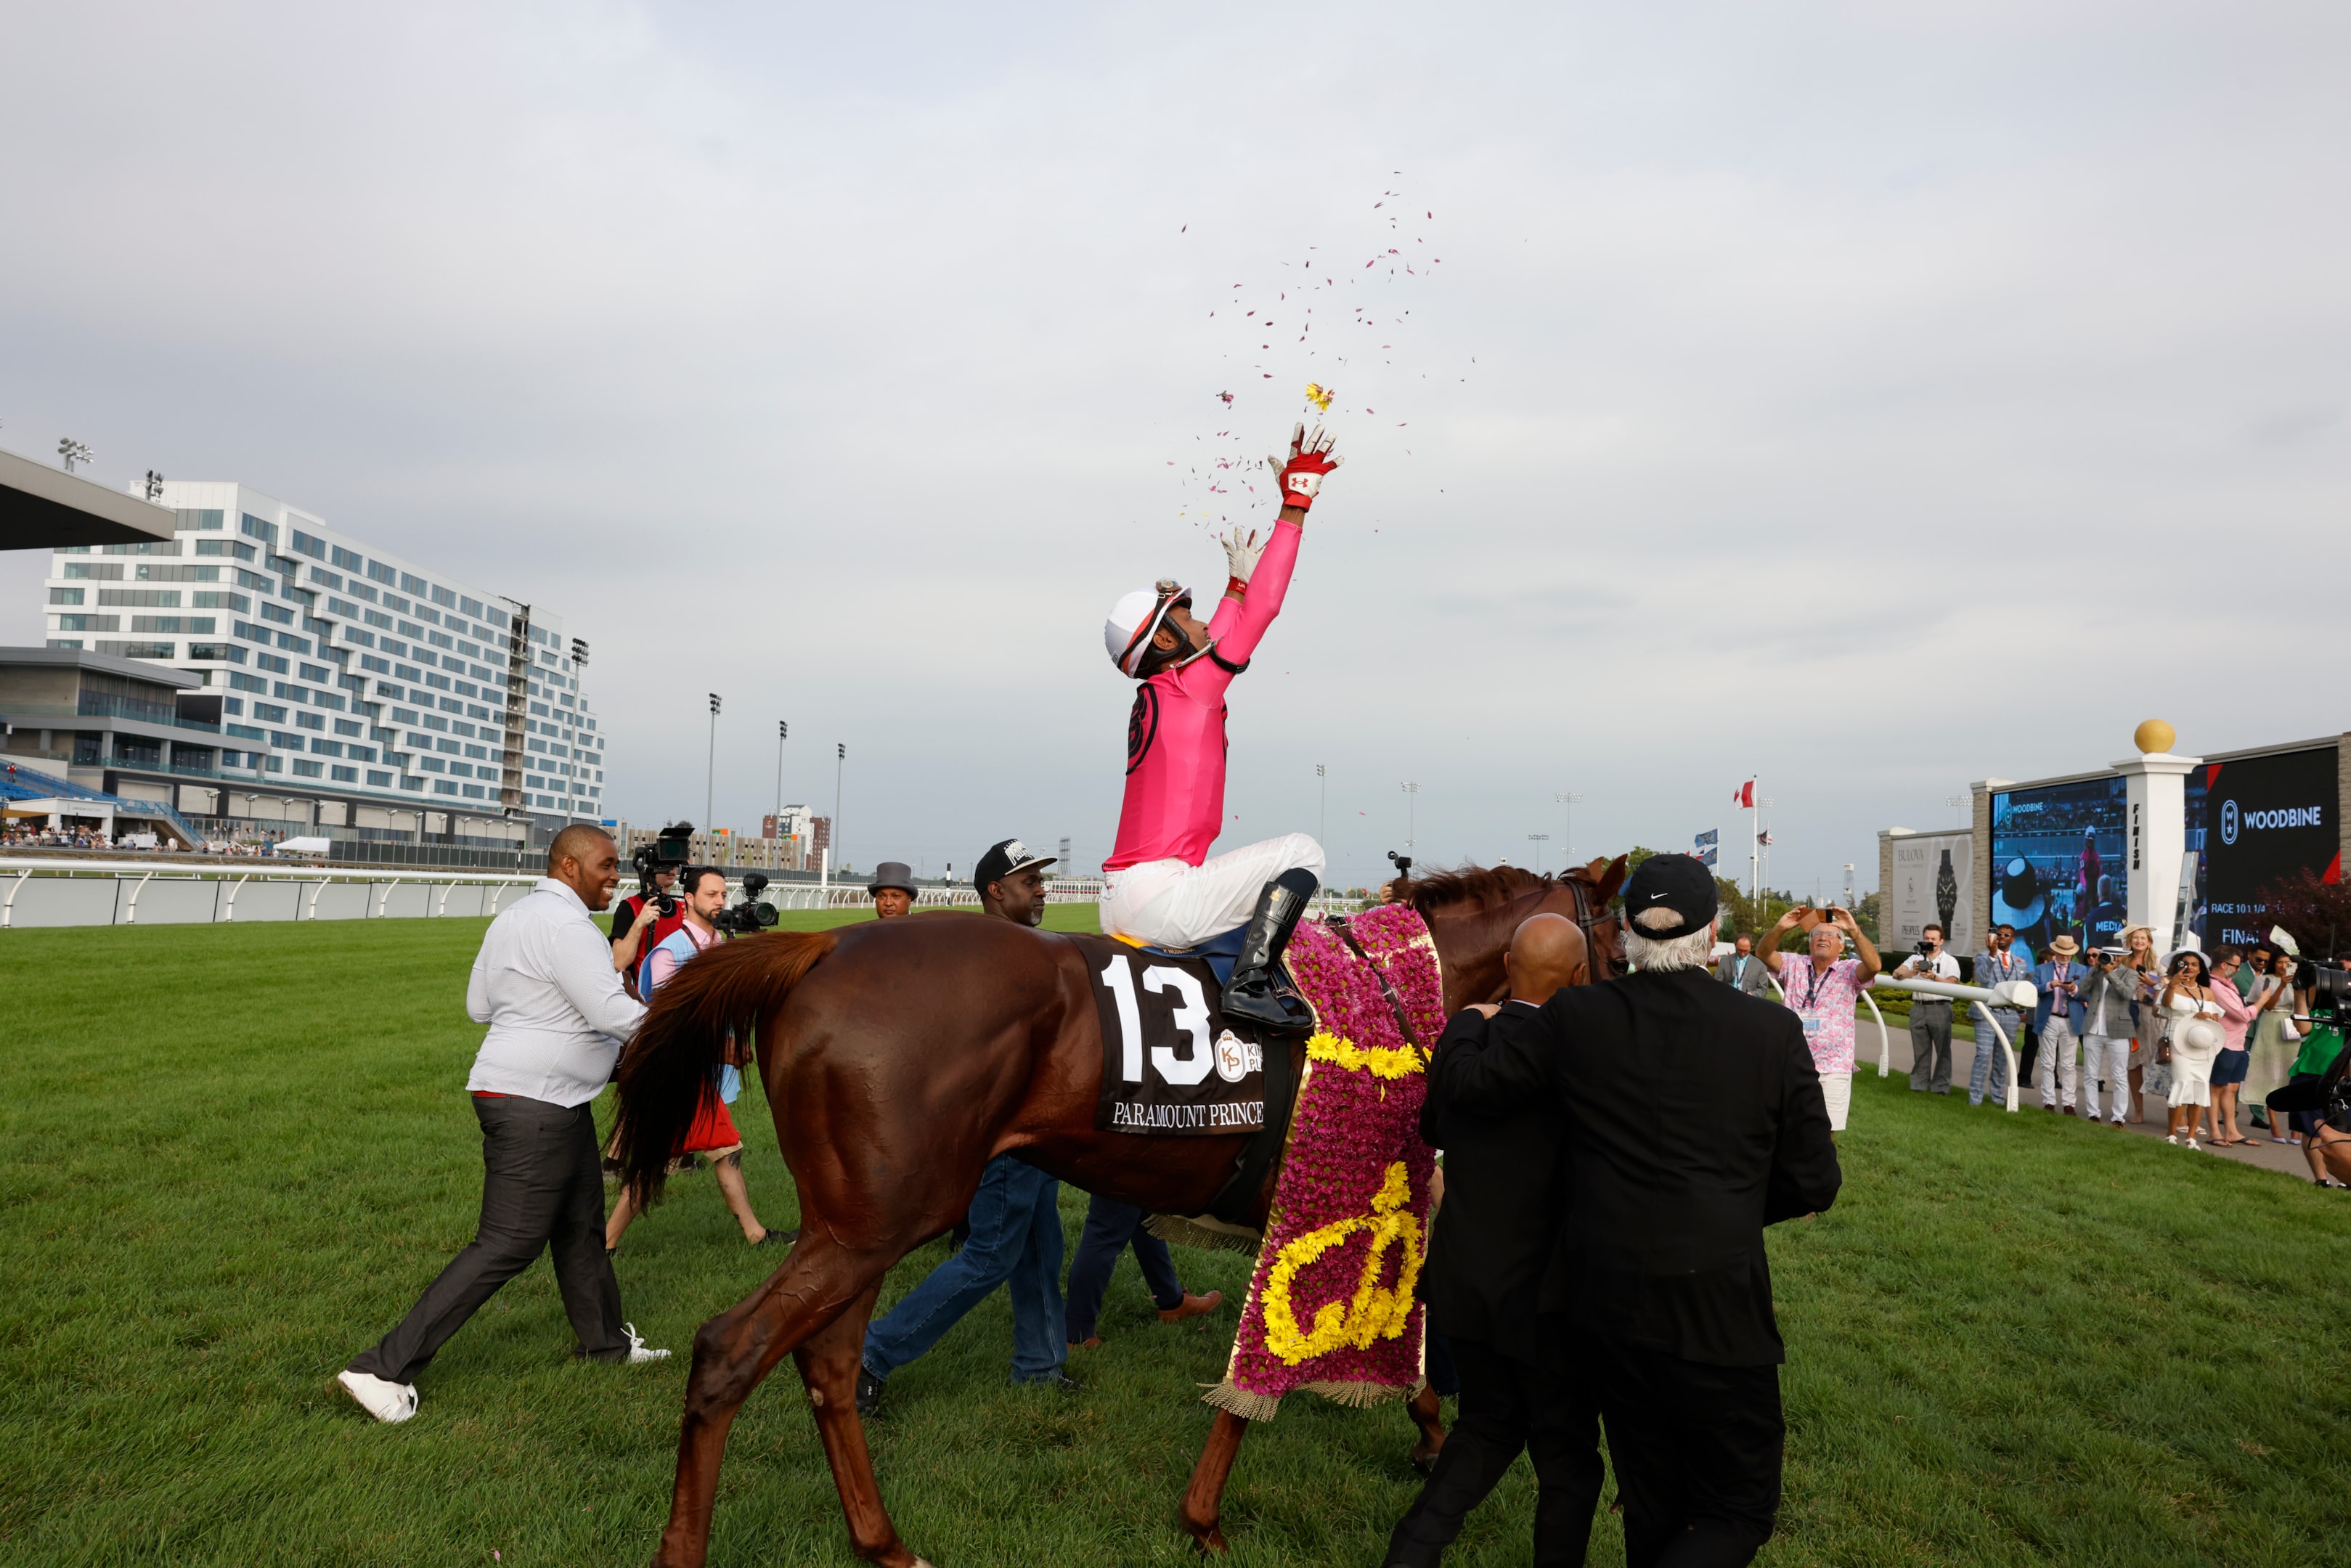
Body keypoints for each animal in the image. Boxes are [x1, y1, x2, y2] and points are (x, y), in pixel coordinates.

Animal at [616, 860, 1626, 1568]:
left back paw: (884, 1541)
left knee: (826, 1362)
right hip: (877, 1220)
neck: (1391, 985)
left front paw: (1424, 1428)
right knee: (732, 1349)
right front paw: (1206, 1518)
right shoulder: (1335, 1190)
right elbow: (1270, 1365)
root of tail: (822, 948)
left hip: (859, 1222)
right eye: (1620, 946)